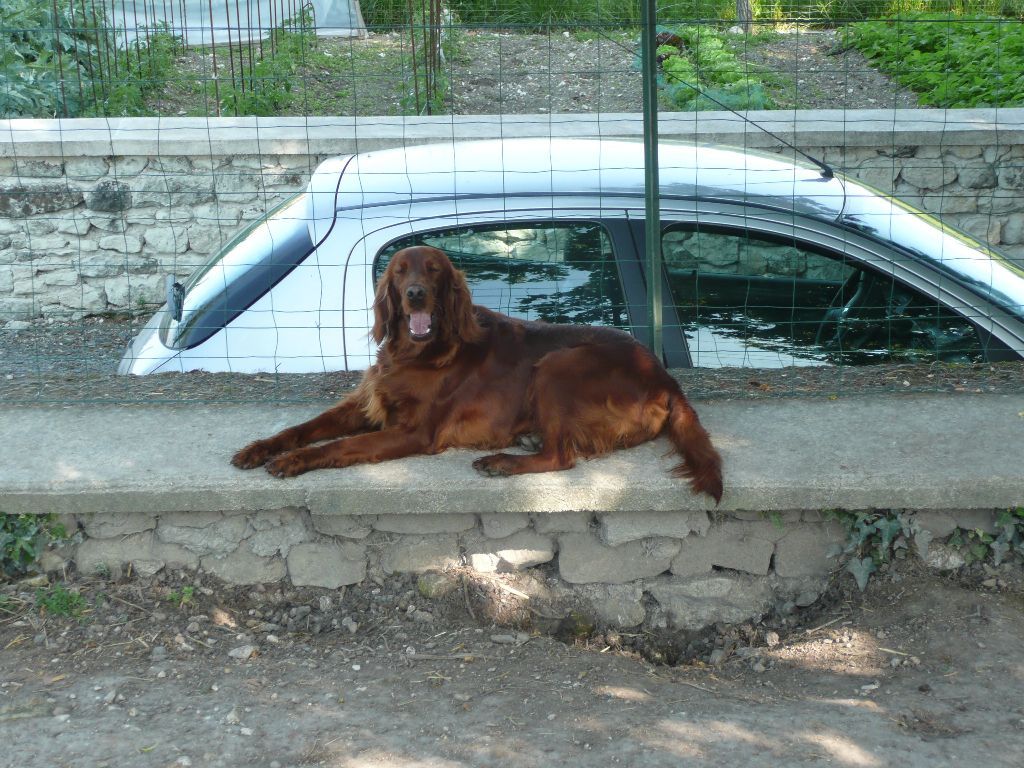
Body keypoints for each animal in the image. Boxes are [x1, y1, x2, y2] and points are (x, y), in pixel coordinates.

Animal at [232, 246, 723, 503]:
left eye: (433, 270)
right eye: (399, 271)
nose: (414, 294)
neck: (417, 353)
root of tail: (665, 377)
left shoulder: (414, 432)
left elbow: (340, 445)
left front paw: (293, 462)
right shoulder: (365, 404)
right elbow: (303, 427)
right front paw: (260, 448)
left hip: (557, 365)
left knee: (561, 457)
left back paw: (501, 462)